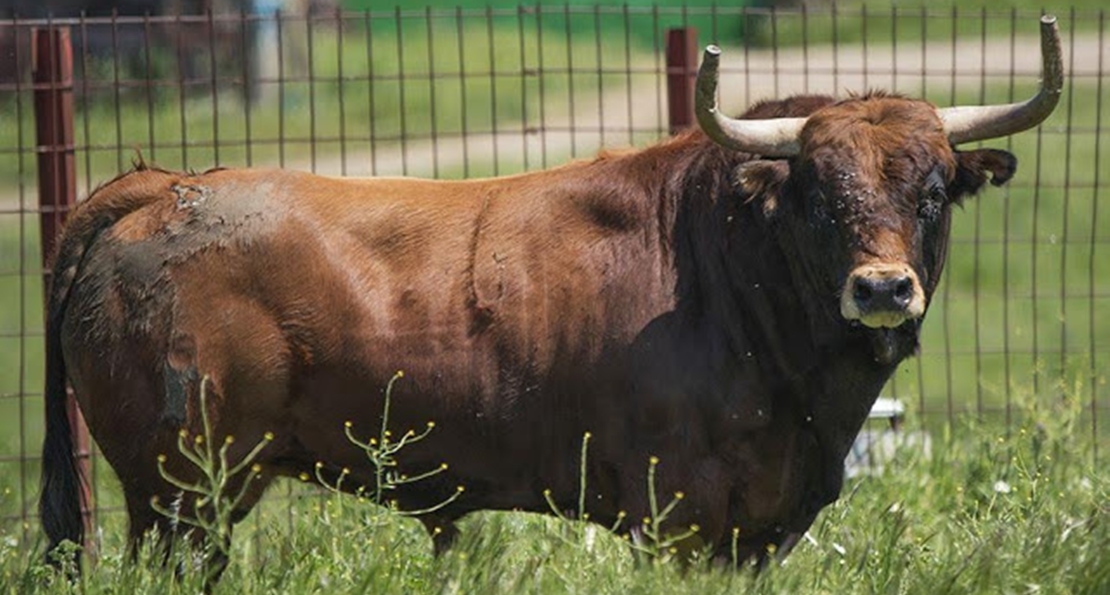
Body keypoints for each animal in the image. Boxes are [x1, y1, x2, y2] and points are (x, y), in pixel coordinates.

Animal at [41, 16, 1065, 577]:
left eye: (931, 193)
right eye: (817, 193)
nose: (884, 286)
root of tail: (166, 184)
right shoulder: (679, 516)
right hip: (182, 494)